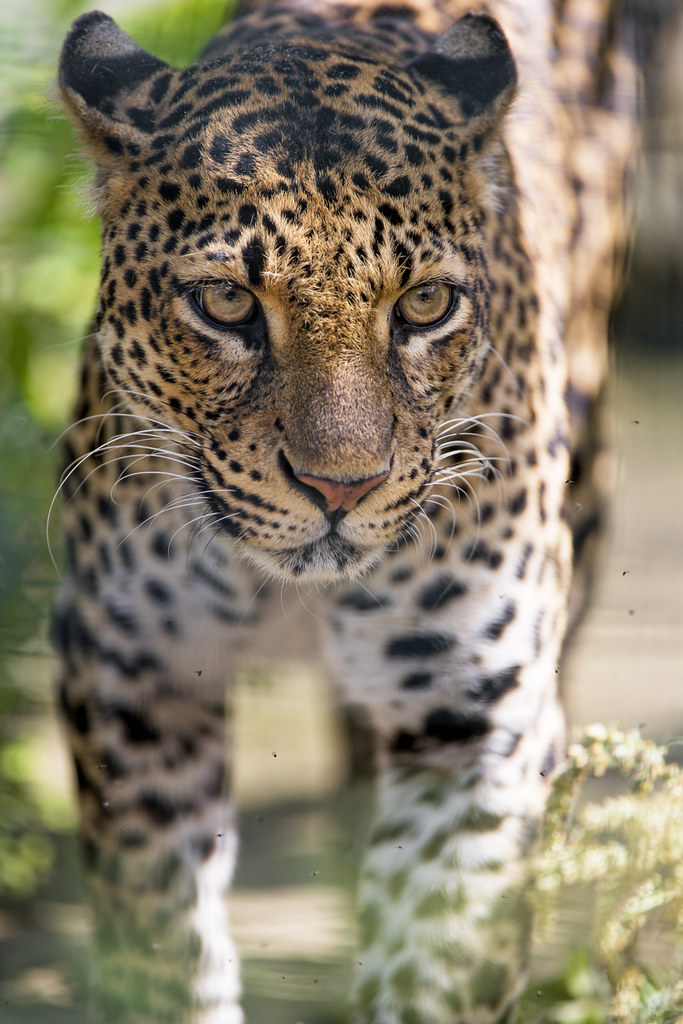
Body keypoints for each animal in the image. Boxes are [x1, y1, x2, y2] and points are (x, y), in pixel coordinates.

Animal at [53, 0, 636, 1021]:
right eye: (225, 303)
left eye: (426, 304)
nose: (340, 485)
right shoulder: (132, 678)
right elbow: (159, 938)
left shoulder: (469, 719)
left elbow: (438, 954)